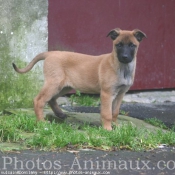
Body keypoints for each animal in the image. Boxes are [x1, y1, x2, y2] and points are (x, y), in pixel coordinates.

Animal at [12, 28, 146, 130]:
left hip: (64, 86)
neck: (121, 68)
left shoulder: (120, 94)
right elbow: (107, 113)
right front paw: (108, 129)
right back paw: (42, 122)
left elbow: (115, 112)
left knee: (51, 99)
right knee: (39, 100)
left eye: (132, 45)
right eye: (119, 45)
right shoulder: (107, 93)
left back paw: (60, 114)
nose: (125, 57)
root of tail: (50, 53)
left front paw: (116, 126)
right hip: (54, 83)